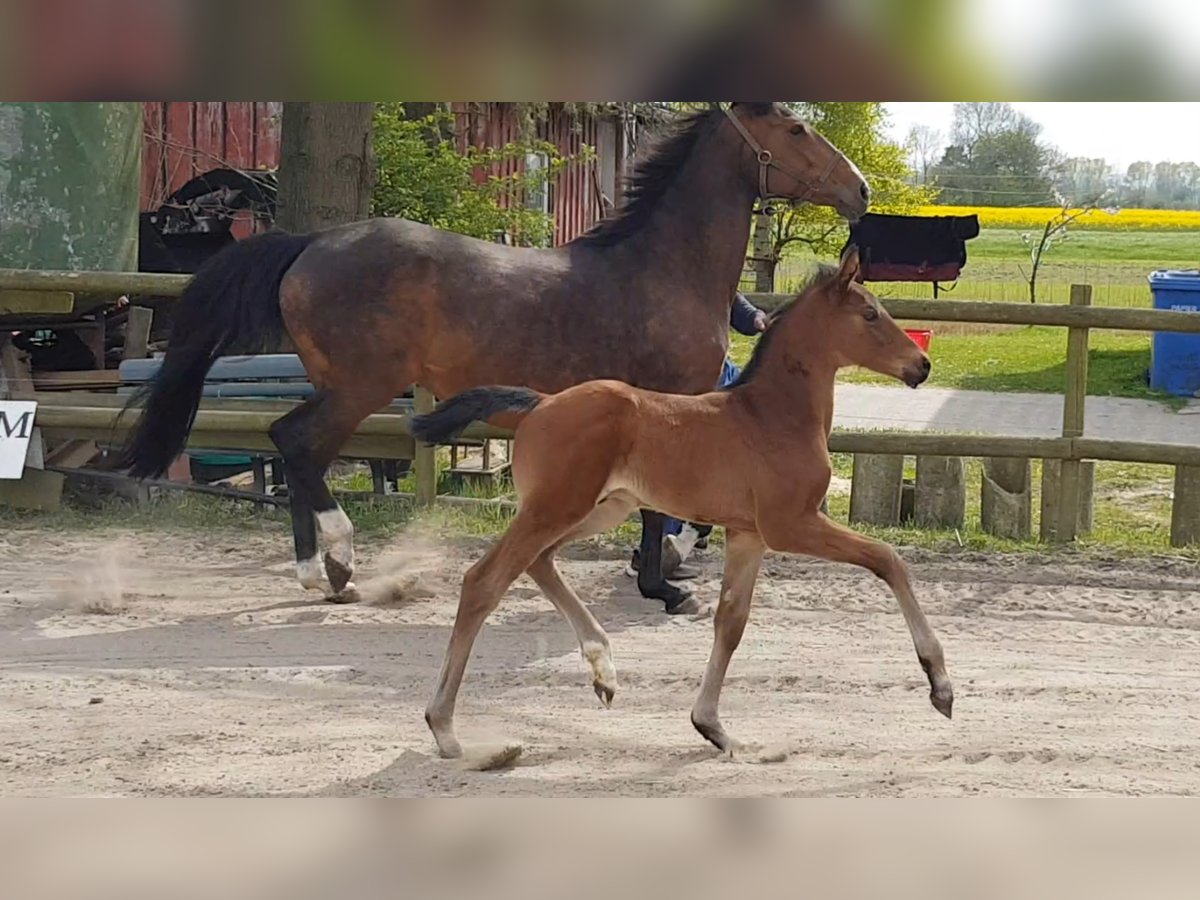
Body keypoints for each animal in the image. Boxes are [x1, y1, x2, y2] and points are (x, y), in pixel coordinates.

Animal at [117, 103, 868, 614]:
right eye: (795, 131)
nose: (860, 189)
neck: (662, 270)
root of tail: (309, 245)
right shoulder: (670, 402)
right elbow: (660, 510)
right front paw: (664, 587)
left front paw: (663, 575)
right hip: (361, 385)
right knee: (295, 443)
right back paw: (340, 559)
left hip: (339, 385)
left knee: (298, 449)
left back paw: (322, 574)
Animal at [412, 248, 955, 763]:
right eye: (870, 314)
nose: (921, 365)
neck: (774, 415)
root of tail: (541, 403)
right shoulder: (790, 524)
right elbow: (888, 559)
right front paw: (940, 685)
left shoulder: (748, 534)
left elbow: (731, 622)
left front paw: (713, 728)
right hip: (556, 508)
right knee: (484, 581)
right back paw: (445, 729)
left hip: (599, 508)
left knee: (539, 562)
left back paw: (604, 672)